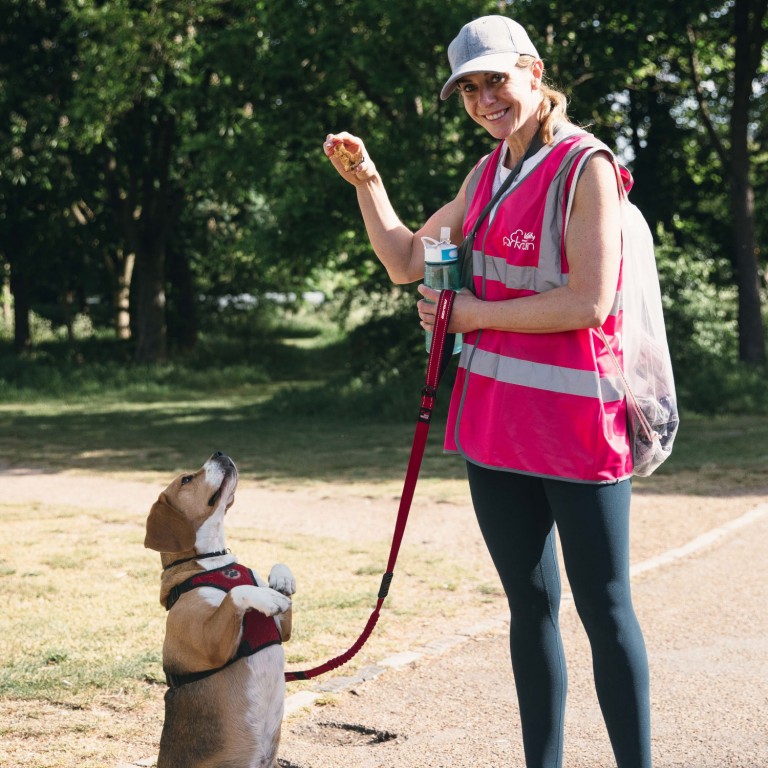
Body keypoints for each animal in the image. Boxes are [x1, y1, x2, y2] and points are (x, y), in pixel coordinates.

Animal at [146, 450, 296, 768]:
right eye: (186, 480)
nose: (220, 452)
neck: (213, 562)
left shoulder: (282, 629)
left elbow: (275, 576)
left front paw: (281, 579)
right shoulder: (212, 646)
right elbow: (238, 593)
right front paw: (267, 596)